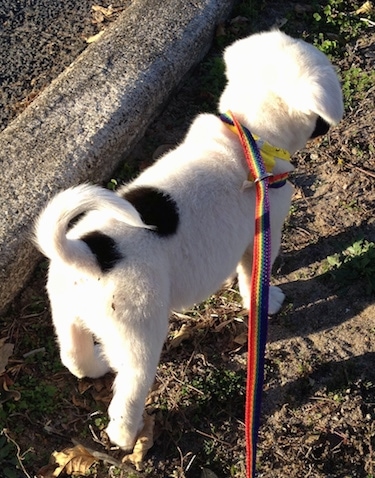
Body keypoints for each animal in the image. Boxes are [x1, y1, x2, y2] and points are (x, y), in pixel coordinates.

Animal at [34, 30, 344, 452]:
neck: (248, 134)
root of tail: (89, 253)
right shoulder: (264, 234)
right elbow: (254, 280)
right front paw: (267, 301)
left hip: (66, 314)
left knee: (75, 359)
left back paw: (96, 364)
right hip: (140, 337)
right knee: (127, 396)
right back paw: (130, 437)